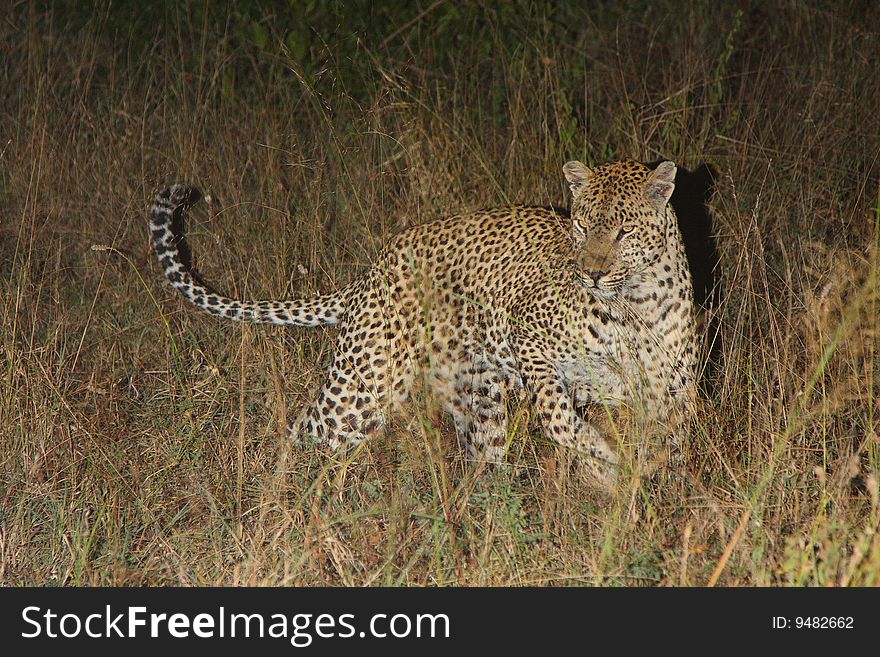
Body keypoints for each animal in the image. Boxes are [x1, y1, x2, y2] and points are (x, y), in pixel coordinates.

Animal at [153, 158, 700, 482]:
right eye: (582, 226)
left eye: (624, 231)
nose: (590, 272)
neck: (636, 303)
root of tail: (372, 271)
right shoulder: (526, 334)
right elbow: (558, 414)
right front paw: (604, 453)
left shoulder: (673, 391)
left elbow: (672, 445)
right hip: (360, 391)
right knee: (303, 437)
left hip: (478, 395)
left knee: (485, 456)